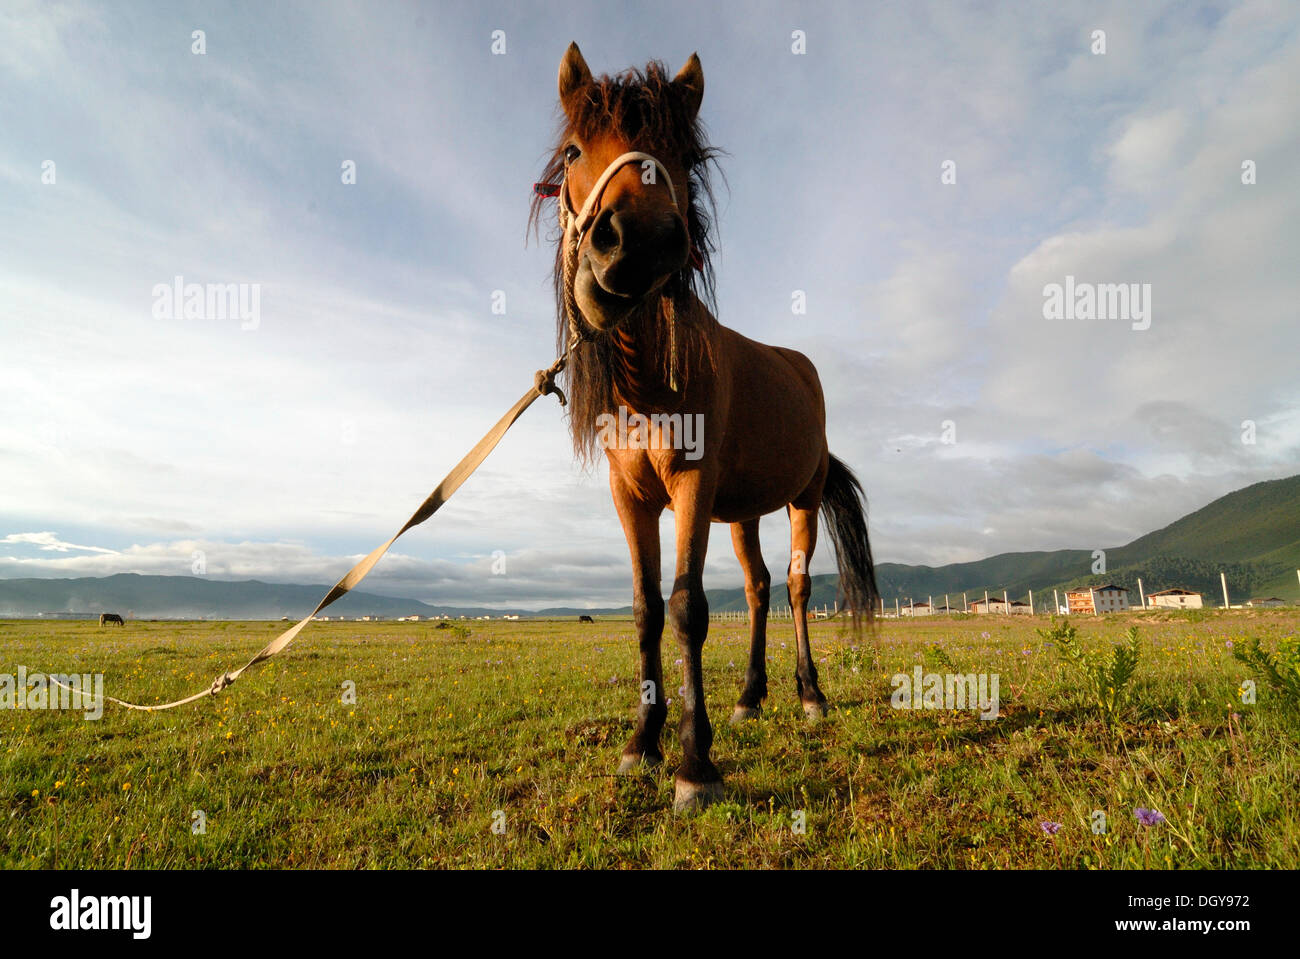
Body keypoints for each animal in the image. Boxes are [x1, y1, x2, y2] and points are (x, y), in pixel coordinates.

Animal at [530, 42, 883, 805]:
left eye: (683, 157)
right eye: (573, 151)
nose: (634, 245)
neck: (647, 386)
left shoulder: (691, 484)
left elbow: (689, 607)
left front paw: (695, 763)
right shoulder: (631, 498)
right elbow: (647, 608)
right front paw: (643, 741)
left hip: (802, 498)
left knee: (797, 587)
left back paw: (810, 695)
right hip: (744, 513)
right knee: (757, 588)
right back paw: (751, 697)